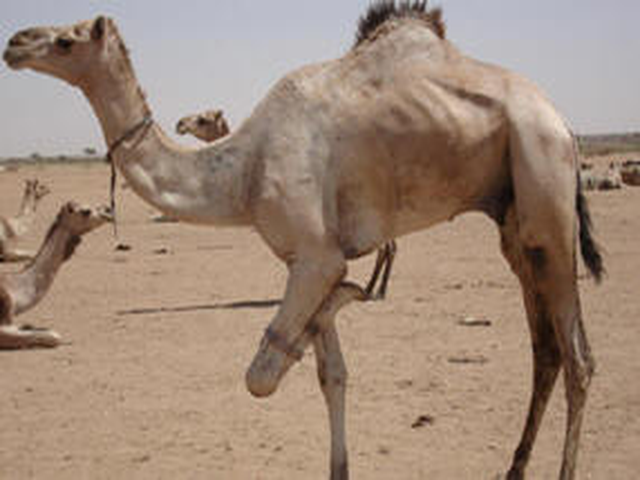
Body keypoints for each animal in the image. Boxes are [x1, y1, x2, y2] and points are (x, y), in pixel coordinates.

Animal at [176, 107, 397, 298]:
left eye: (202, 120)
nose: (180, 124)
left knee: (387, 248)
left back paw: (377, 290)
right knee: (388, 247)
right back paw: (372, 289)